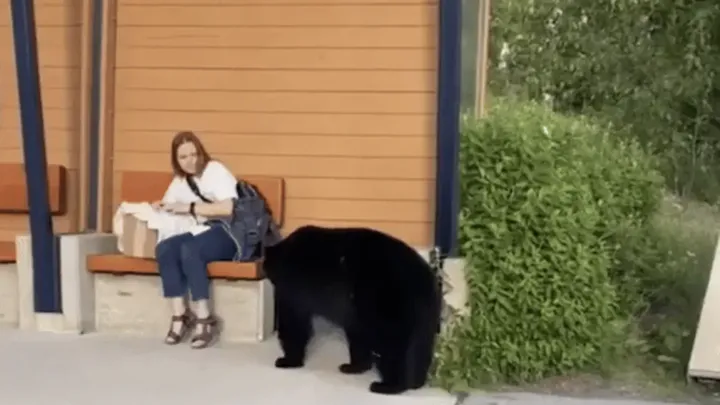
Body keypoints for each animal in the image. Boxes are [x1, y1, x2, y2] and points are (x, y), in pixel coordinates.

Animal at [262, 225, 442, 395]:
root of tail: (426, 281)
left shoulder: (294, 287)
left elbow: (293, 323)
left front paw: (287, 360)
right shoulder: (354, 312)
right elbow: (357, 337)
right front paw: (354, 366)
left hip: (388, 304)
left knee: (393, 345)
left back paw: (388, 385)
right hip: (421, 318)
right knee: (419, 346)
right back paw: (416, 382)